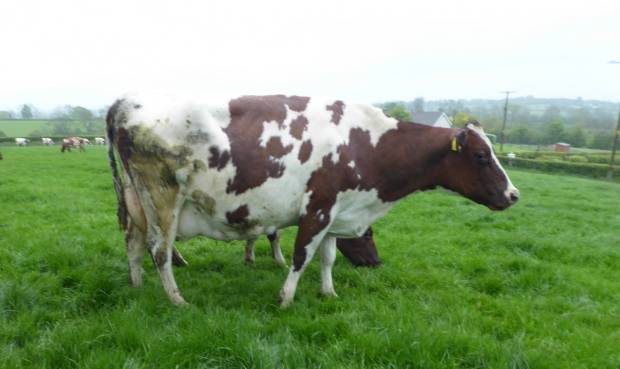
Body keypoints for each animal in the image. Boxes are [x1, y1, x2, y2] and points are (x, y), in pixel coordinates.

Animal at [106, 93, 520, 306]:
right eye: (481, 156)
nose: (513, 194)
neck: (366, 143)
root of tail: (128, 102)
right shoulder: (319, 208)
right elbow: (301, 255)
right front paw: (286, 298)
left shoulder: (338, 212)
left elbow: (327, 257)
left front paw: (328, 292)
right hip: (163, 199)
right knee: (160, 251)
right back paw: (177, 300)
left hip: (137, 202)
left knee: (134, 244)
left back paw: (136, 285)